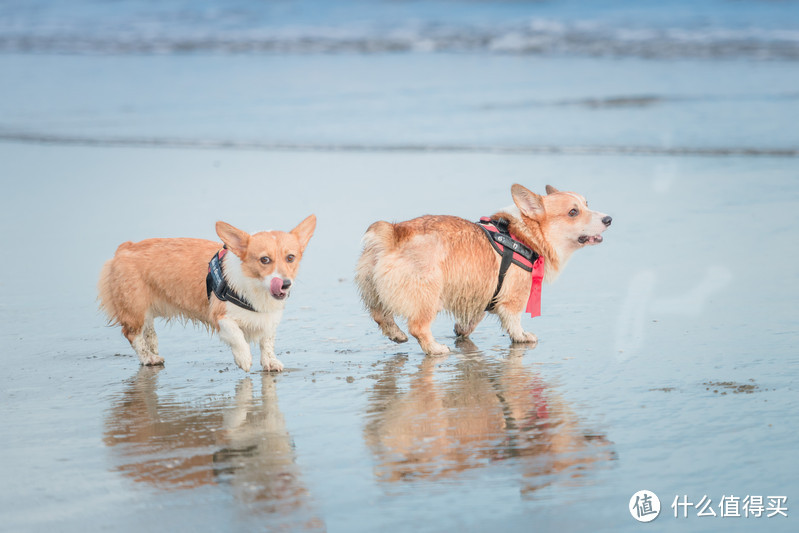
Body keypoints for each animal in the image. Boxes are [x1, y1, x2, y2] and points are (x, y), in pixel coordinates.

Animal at [102, 215, 318, 370]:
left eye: (290, 258)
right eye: (264, 260)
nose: (285, 284)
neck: (256, 287)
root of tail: (125, 247)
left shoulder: (269, 319)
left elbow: (267, 342)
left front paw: (270, 362)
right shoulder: (220, 317)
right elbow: (237, 335)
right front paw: (244, 358)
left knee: (147, 329)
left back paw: (153, 348)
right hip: (134, 308)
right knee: (132, 334)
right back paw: (148, 358)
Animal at [356, 185, 612, 356]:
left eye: (587, 204)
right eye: (573, 212)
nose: (609, 219)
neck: (524, 236)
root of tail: (392, 234)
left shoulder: (482, 293)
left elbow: (472, 320)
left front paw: (461, 330)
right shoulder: (514, 297)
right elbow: (514, 320)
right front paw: (522, 337)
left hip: (373, 291)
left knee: (380, 315)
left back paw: (396, 334)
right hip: (428, 296)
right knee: (418, 327)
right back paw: (436, 348)